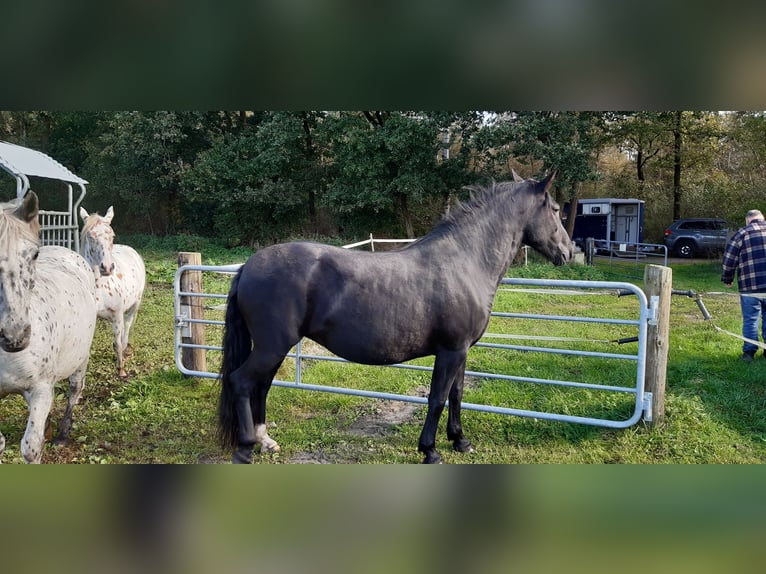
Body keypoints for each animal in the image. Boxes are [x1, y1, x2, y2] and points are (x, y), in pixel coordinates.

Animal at [0, 192, 97, 464]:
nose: (15, 336)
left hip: (81, 360)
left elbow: (31, 448)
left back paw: (62, 433)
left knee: (75, 391)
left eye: (33, 255)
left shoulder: (41, 387)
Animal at [80, 205, 146, 380]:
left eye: (112, 235)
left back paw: (125, 349)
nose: (107, 267)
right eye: (90, 236)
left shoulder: (116, 315)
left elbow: (117, 343)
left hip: (135, 304)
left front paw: (121, 369)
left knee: (127, 326)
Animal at [219, 174, 572, 464]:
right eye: (555, 209)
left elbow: (457, 395)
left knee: (261, 386)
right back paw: (246, 448)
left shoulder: (461, 351)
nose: (568, 252)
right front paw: (430, 450)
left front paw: (460, 441)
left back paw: (266, 441)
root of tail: (249, 266)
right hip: (272, 346)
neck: (466, 261)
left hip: (273, 348)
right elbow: (437, 398)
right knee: (241, 381)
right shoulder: (450, 351)